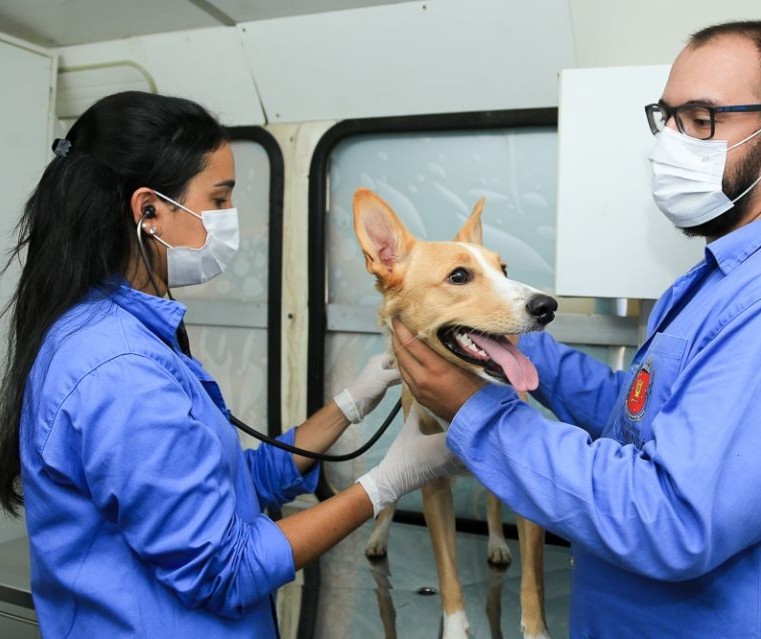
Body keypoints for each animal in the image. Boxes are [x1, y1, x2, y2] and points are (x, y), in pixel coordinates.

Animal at [352, 188, 560, 639]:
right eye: (459, 276)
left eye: (504, 269)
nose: (547, 306)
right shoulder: (434, 491)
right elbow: (448, 577)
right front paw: (454, 628)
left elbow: (533, 584)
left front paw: (536, 628)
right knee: (390, 499)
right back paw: (378, 538)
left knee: (493, 505)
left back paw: (497, 543)